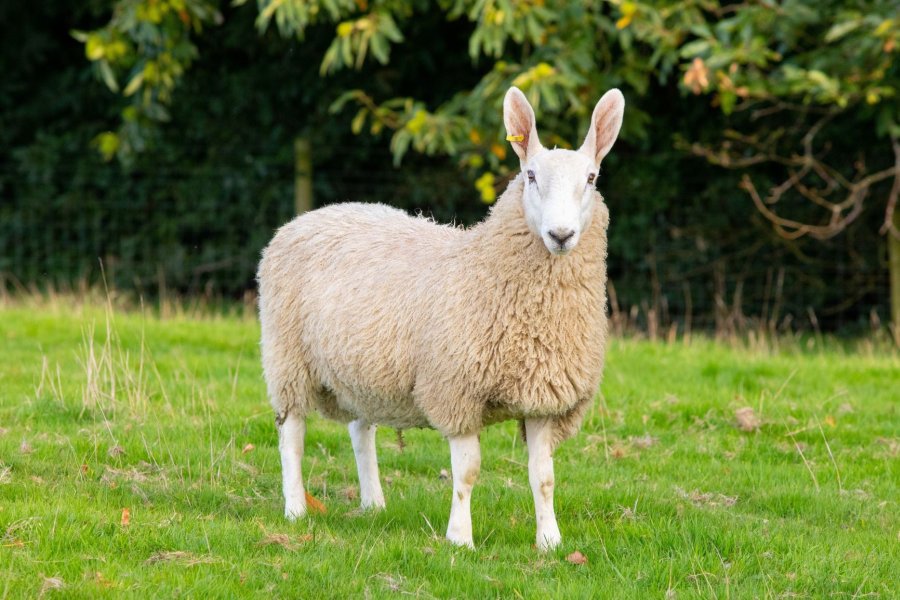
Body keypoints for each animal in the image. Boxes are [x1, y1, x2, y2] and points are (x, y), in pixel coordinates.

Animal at [258, 86, 624, 552]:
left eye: (591, 179)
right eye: (530, 176)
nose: (561, 236)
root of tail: (310, 216)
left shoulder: (544, 396)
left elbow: (543, 478)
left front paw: (550, 541)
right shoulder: (457, 390)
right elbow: (467, 472)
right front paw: (460, 539)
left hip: (363, 365)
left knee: (361, 430)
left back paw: (373, 503)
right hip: (287, 357)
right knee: (292, 437)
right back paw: (295, 509)